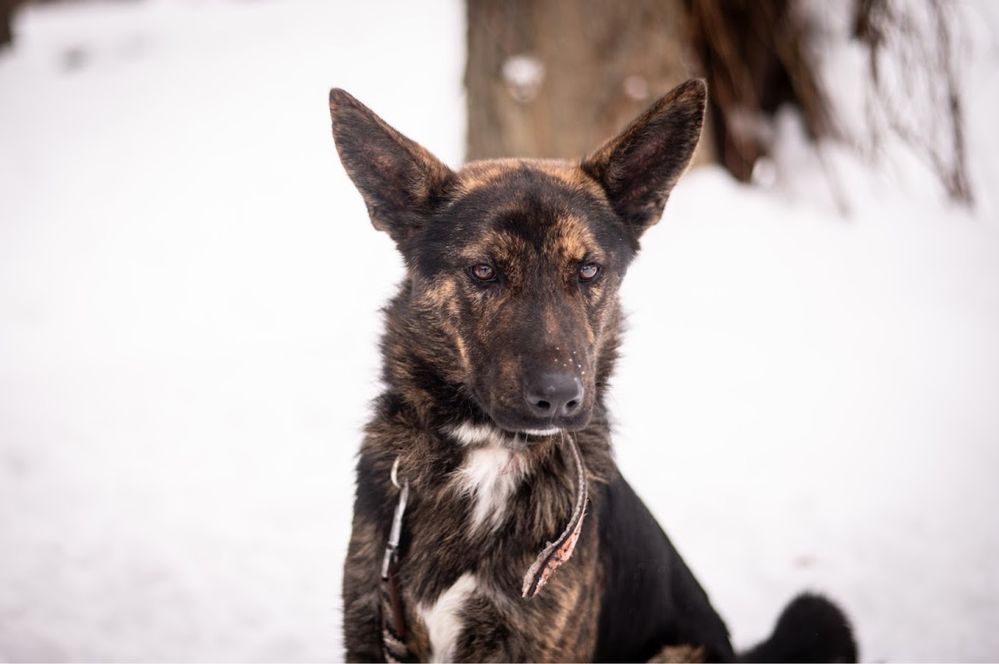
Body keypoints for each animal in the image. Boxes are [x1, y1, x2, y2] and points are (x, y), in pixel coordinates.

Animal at [330, 80, 860, 660]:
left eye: (588, 270)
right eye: (483, 271)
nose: (559, 397)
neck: (485, 452)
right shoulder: (371, 626)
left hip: (679, 651)